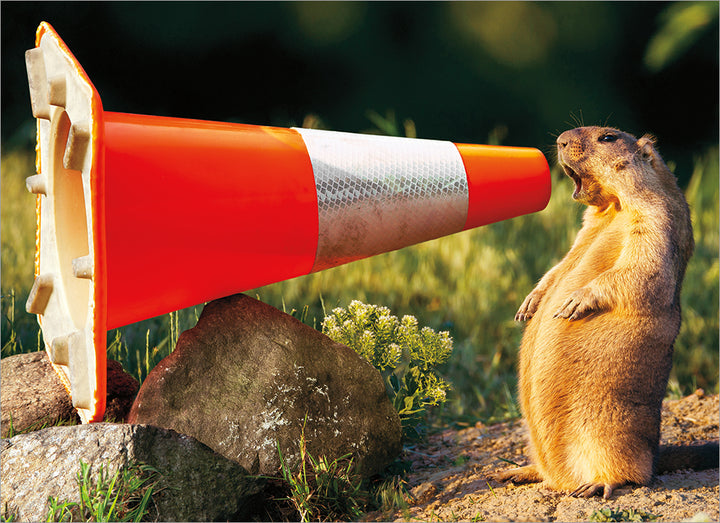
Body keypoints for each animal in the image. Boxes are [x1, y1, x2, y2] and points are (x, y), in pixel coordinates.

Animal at [496, 126, 716, 500]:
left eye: (608, 138)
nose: (560, 140)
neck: (612, 208)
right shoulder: (583, 233)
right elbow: (560, 266)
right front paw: (530, 303)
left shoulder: (656, 219)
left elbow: (642, 265)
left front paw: (573, 301)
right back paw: (514, 472)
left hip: (611, 435)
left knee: (635, 475)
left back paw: (597, 483)